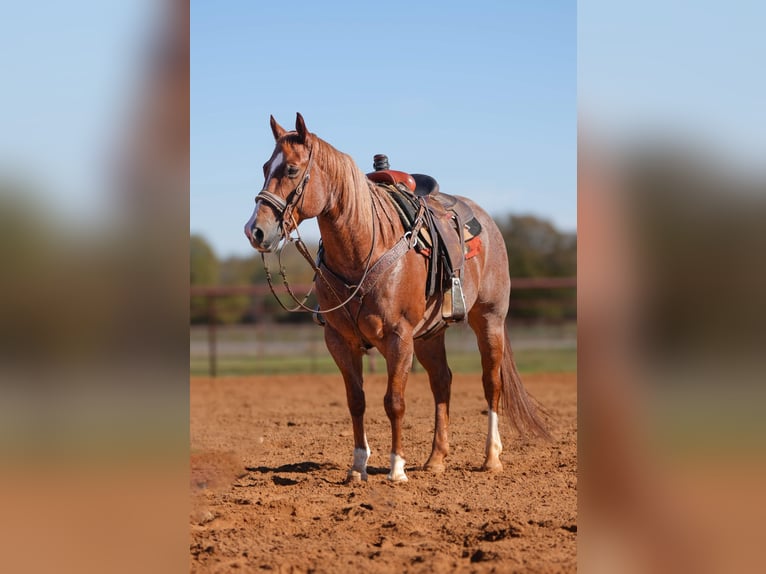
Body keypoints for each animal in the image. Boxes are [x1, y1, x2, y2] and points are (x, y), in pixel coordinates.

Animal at [246, 112, 552, 482]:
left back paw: (491, 457)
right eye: (265, 167)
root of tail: (487, 222)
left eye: (291, 169)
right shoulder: (339, 340)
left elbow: (394, 401)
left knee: (491, 382)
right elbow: (356, 400)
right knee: (442, 382)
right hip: (430, 335)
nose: (255, 230)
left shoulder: (398, 337)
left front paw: (396, 468)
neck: (363, 249)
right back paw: (436, 459)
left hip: (489, 319)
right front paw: (357, 467)